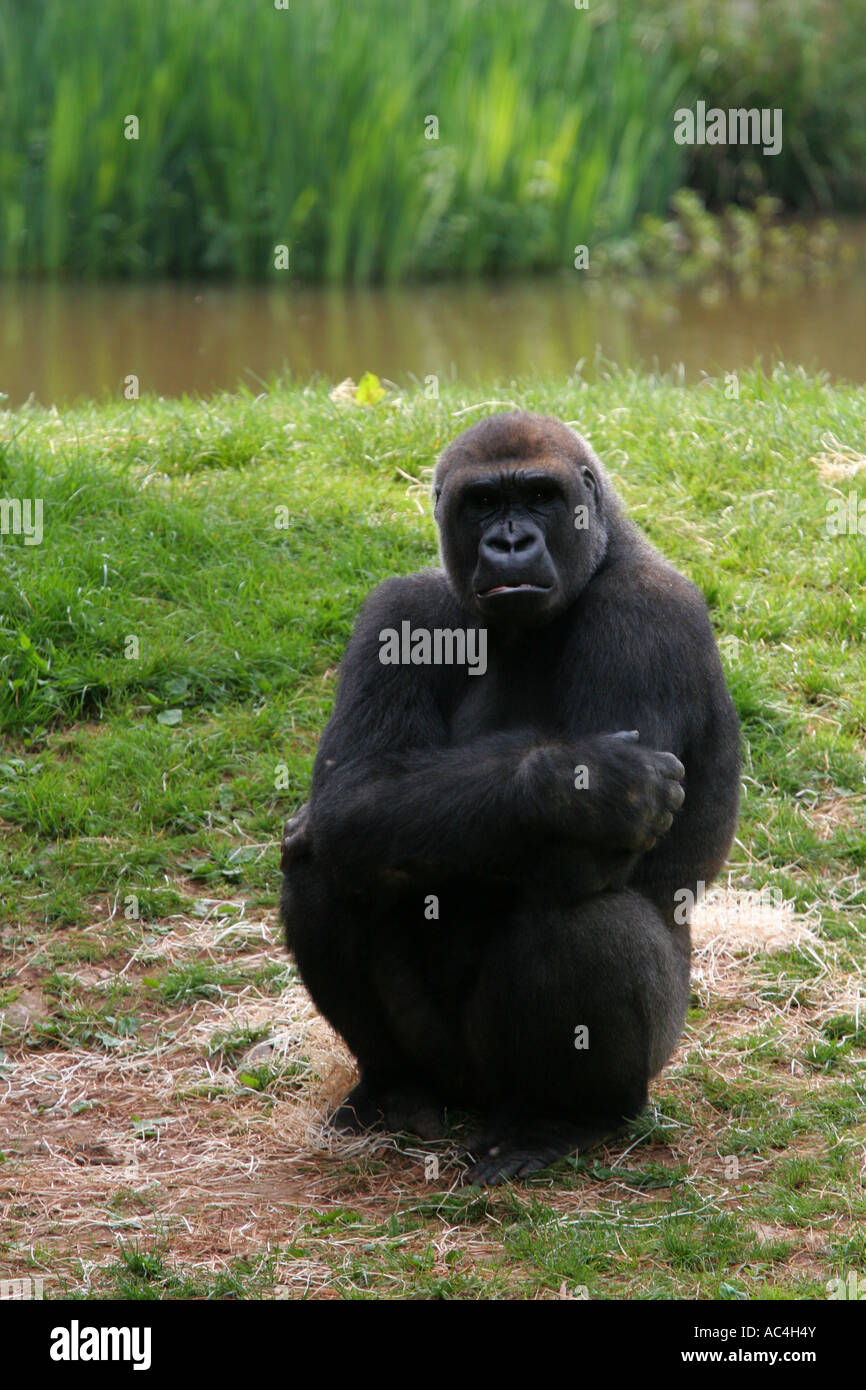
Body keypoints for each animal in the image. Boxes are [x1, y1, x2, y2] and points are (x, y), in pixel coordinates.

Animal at [280, 411, 739, 1184]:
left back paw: (563, 1118)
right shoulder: (400, 607)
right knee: (324, 857)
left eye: (540, 497)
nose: (511, 543)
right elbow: (355, 800)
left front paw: (588, 794)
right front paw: (577, 780)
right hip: (445, 1066)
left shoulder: (645, 616)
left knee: (582, 915)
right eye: (484, 503)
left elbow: (592, 861)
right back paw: (396, 1087)